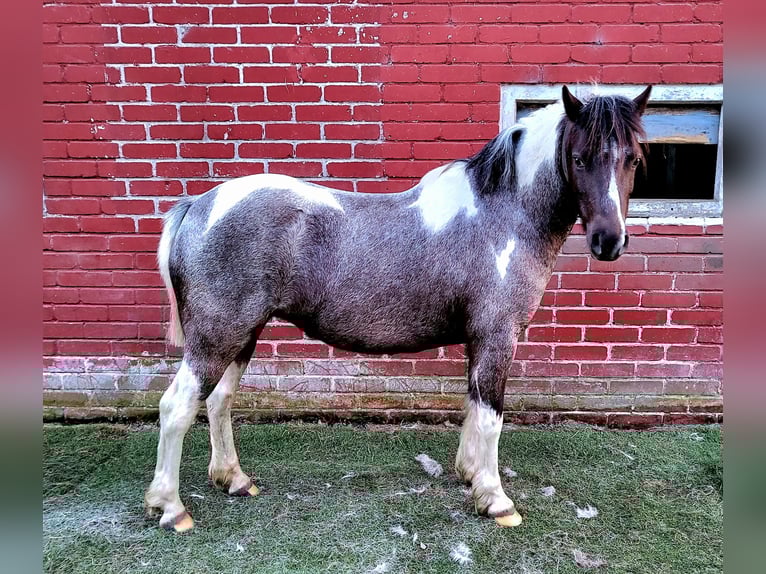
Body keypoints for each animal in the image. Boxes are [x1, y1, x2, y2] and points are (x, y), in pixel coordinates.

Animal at [145, 85, 652, 533]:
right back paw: (170, 508)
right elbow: (491, 417)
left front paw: (469, 475)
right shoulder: (497, 338)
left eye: (632, 158)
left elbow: (472, 407)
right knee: (177, 406)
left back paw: (234, 479)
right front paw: (495, 499)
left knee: (218, 402)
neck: (504, 216)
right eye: (580, 158)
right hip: (217, 336)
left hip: (242, 335)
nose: (609, 241)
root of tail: (199, 205)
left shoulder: (478, 341)